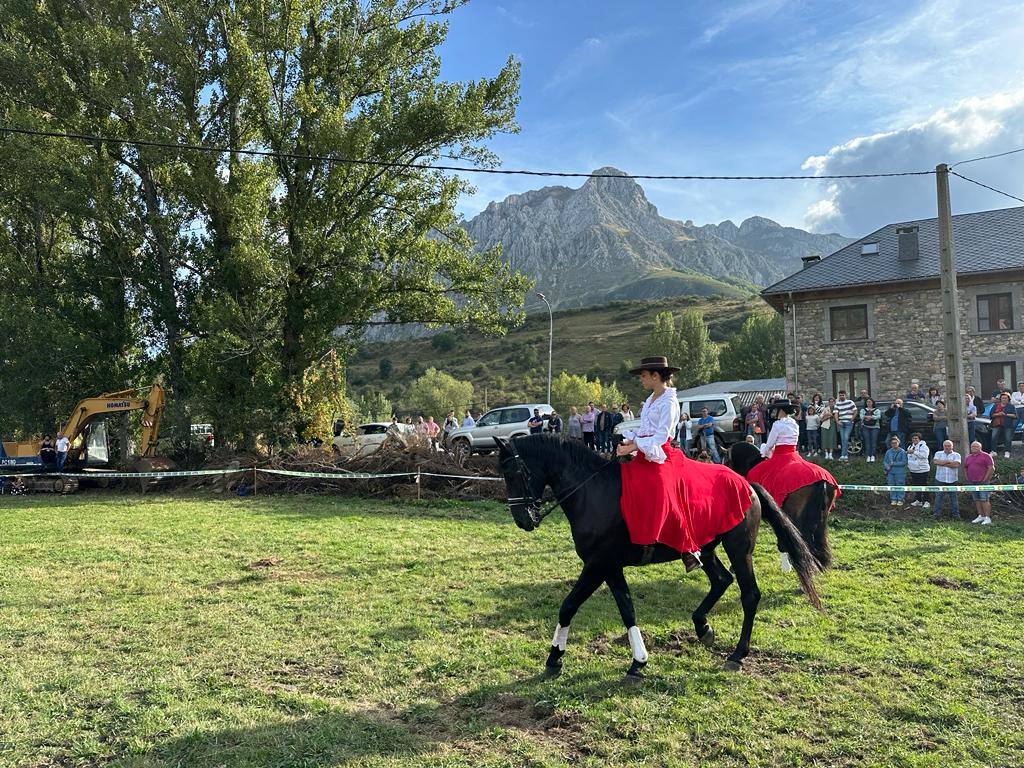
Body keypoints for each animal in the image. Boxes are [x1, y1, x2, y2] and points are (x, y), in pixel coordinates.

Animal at [495, 434, 823, 679]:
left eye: (513, 473)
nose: (522, 520)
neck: (593, 492)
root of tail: (747, 485)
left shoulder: (597, 565)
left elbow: (568, 606)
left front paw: (555, 657)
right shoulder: (610, 567)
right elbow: (626, 609)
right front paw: (637, 661)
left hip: (739, 550)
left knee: (749, 594)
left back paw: (737, 654)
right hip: (706, 549)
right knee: (721, 580)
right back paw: (702, 627)